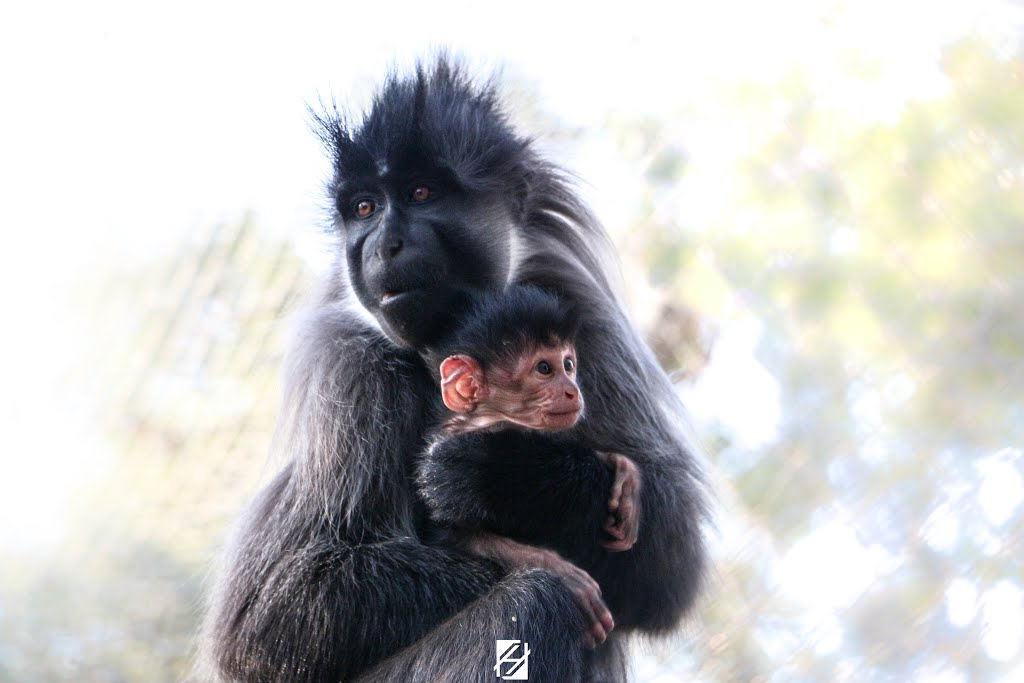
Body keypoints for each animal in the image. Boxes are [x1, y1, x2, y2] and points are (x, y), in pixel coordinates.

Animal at [415, 286, 638, 651]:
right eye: (544, 368)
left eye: (568, 365)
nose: (573, 390)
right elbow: (448, 537)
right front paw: (558, 571)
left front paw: (627, 479)